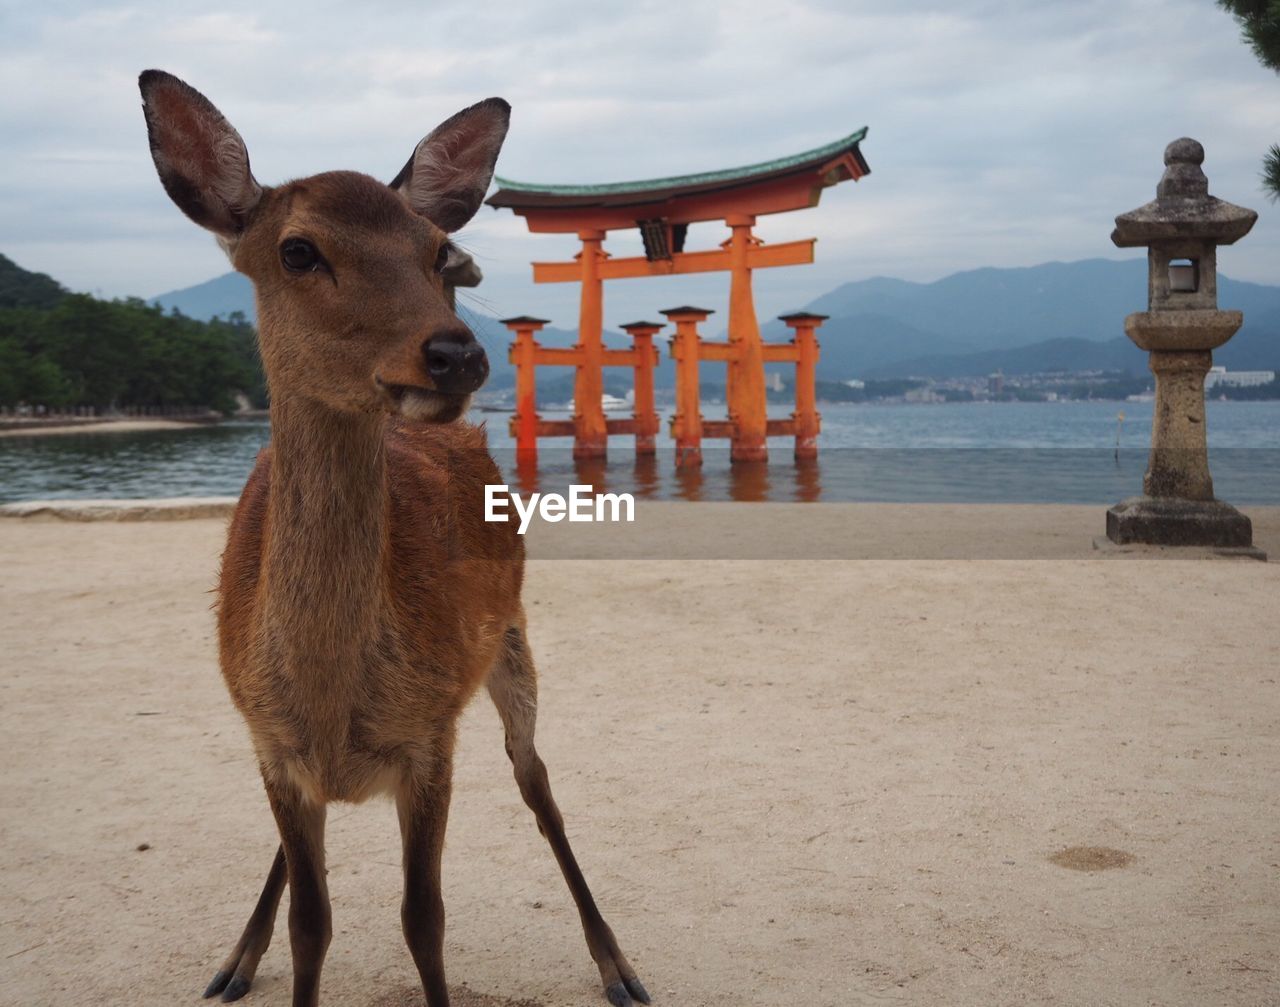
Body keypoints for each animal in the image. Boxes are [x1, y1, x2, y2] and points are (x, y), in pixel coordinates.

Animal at [140, 68, 650, 1007]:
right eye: (297, 250)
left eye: (434, 250)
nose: (457, 353)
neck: (336, 693)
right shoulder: (271, 744)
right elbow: (313, 923)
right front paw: (260, 950)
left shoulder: (431, 734)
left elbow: (424, 920)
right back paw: (236, 959)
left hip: (511, 639)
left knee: (539, 783)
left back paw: (618, 965)